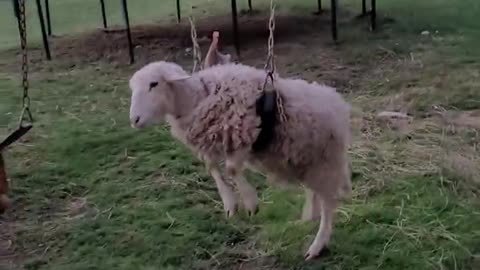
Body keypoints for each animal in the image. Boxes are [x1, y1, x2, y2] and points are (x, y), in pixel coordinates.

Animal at [127, 60, 352, 260]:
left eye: (154, 84)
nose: (134, 120)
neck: (198, 98)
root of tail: (337, 103)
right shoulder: (213, 142)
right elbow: (212, 168)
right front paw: (230, 203)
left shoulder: (243, 137)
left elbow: (232, 169)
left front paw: (251, 202)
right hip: (303, 160)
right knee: (313, 192)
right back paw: (309, 216)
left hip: (324, 162)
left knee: (328, 204)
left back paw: (317, 244)